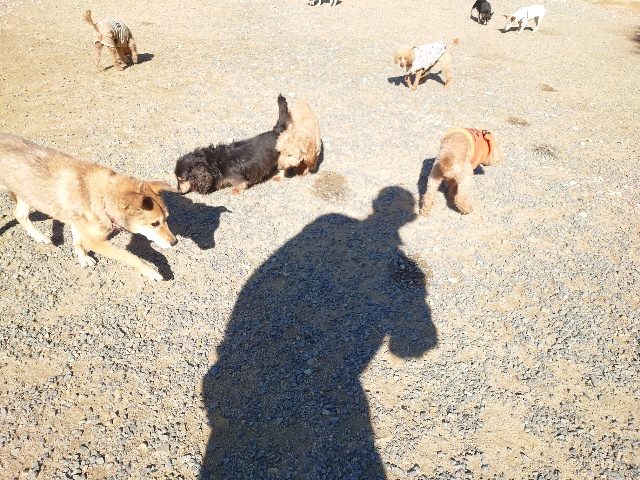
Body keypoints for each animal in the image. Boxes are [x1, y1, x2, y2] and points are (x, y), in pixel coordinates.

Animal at [0, 133, 177, 281]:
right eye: (154, 223)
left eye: (167, 219)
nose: (174, 242)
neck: (103, 198)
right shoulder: (95, 241)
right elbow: (132, 257)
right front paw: (151, 272)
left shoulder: (78, 223)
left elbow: (77, 242)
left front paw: (83, 258)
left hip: (27, 193)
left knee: (20, 214)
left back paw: (40, 237)